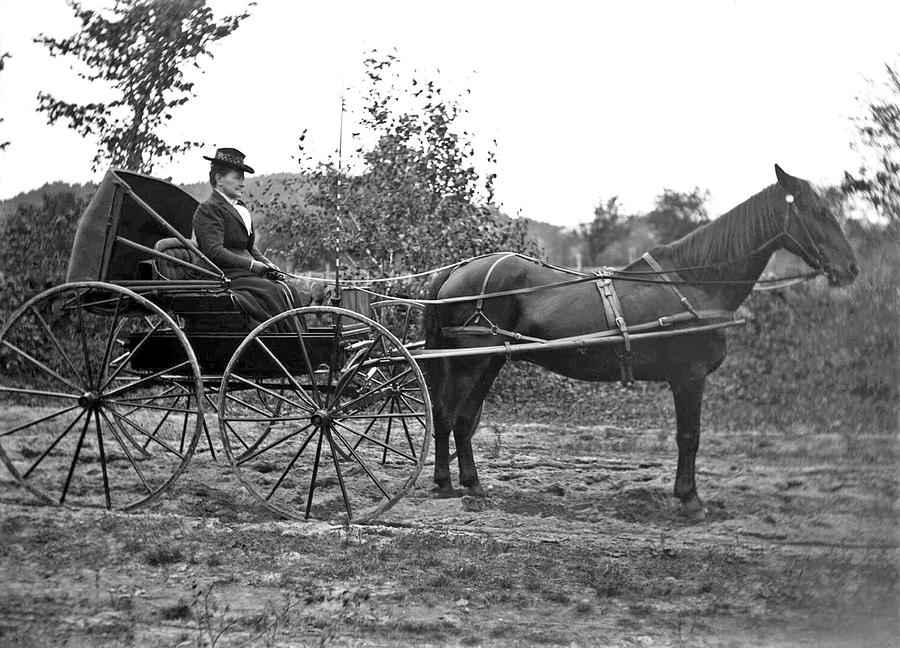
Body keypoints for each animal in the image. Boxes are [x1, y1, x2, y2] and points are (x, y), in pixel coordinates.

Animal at [422, 165, 856, 520]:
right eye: (819, 212)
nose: (850, 269)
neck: (696, 283)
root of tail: (456, 273)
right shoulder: (690, 378)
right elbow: (689, 437)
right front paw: (690, 500)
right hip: (469, 362)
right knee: (445, 413)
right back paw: (444, 483)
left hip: (490, 361)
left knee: (464, 418)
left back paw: (473, 484)